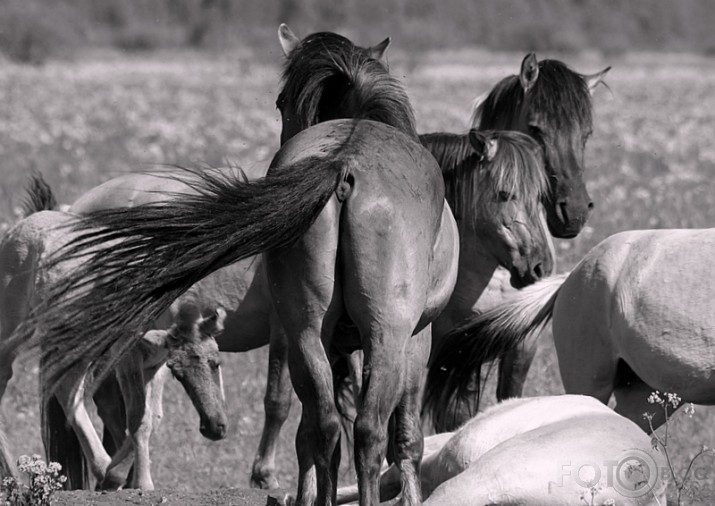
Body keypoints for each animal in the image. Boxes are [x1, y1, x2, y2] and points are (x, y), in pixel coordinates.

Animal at [0, 187, 228, 490]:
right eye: (179, 374)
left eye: (216, 362)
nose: (215, 428)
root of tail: (17, 229)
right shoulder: (128, 359)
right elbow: (138, 418)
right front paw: (136, 482)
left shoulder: (154, 363)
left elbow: (152, 417)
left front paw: (124, 477)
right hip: (14, 332)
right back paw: (17, 477)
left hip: (78, 344)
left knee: (67, 390)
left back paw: (100, 467)